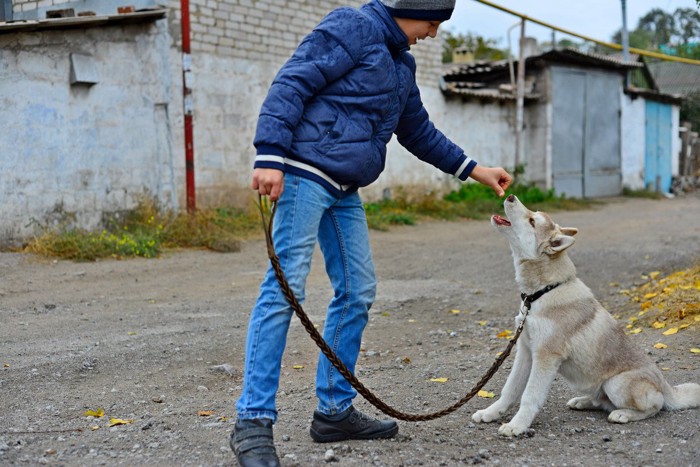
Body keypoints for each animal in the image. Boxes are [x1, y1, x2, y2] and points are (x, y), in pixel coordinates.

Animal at [474, 196, 696, 436]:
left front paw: (517, 425)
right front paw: (490, 413)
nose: (510, 197)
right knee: (603, 402)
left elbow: (529, 395)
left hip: (615, 384)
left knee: (654, 406)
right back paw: (582, 401)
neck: (543, 292)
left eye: (532, 221)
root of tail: (666, 386)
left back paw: (623, 414)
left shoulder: (545, 356)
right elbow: (510, 389)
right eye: (534, 214)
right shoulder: (525, 351)